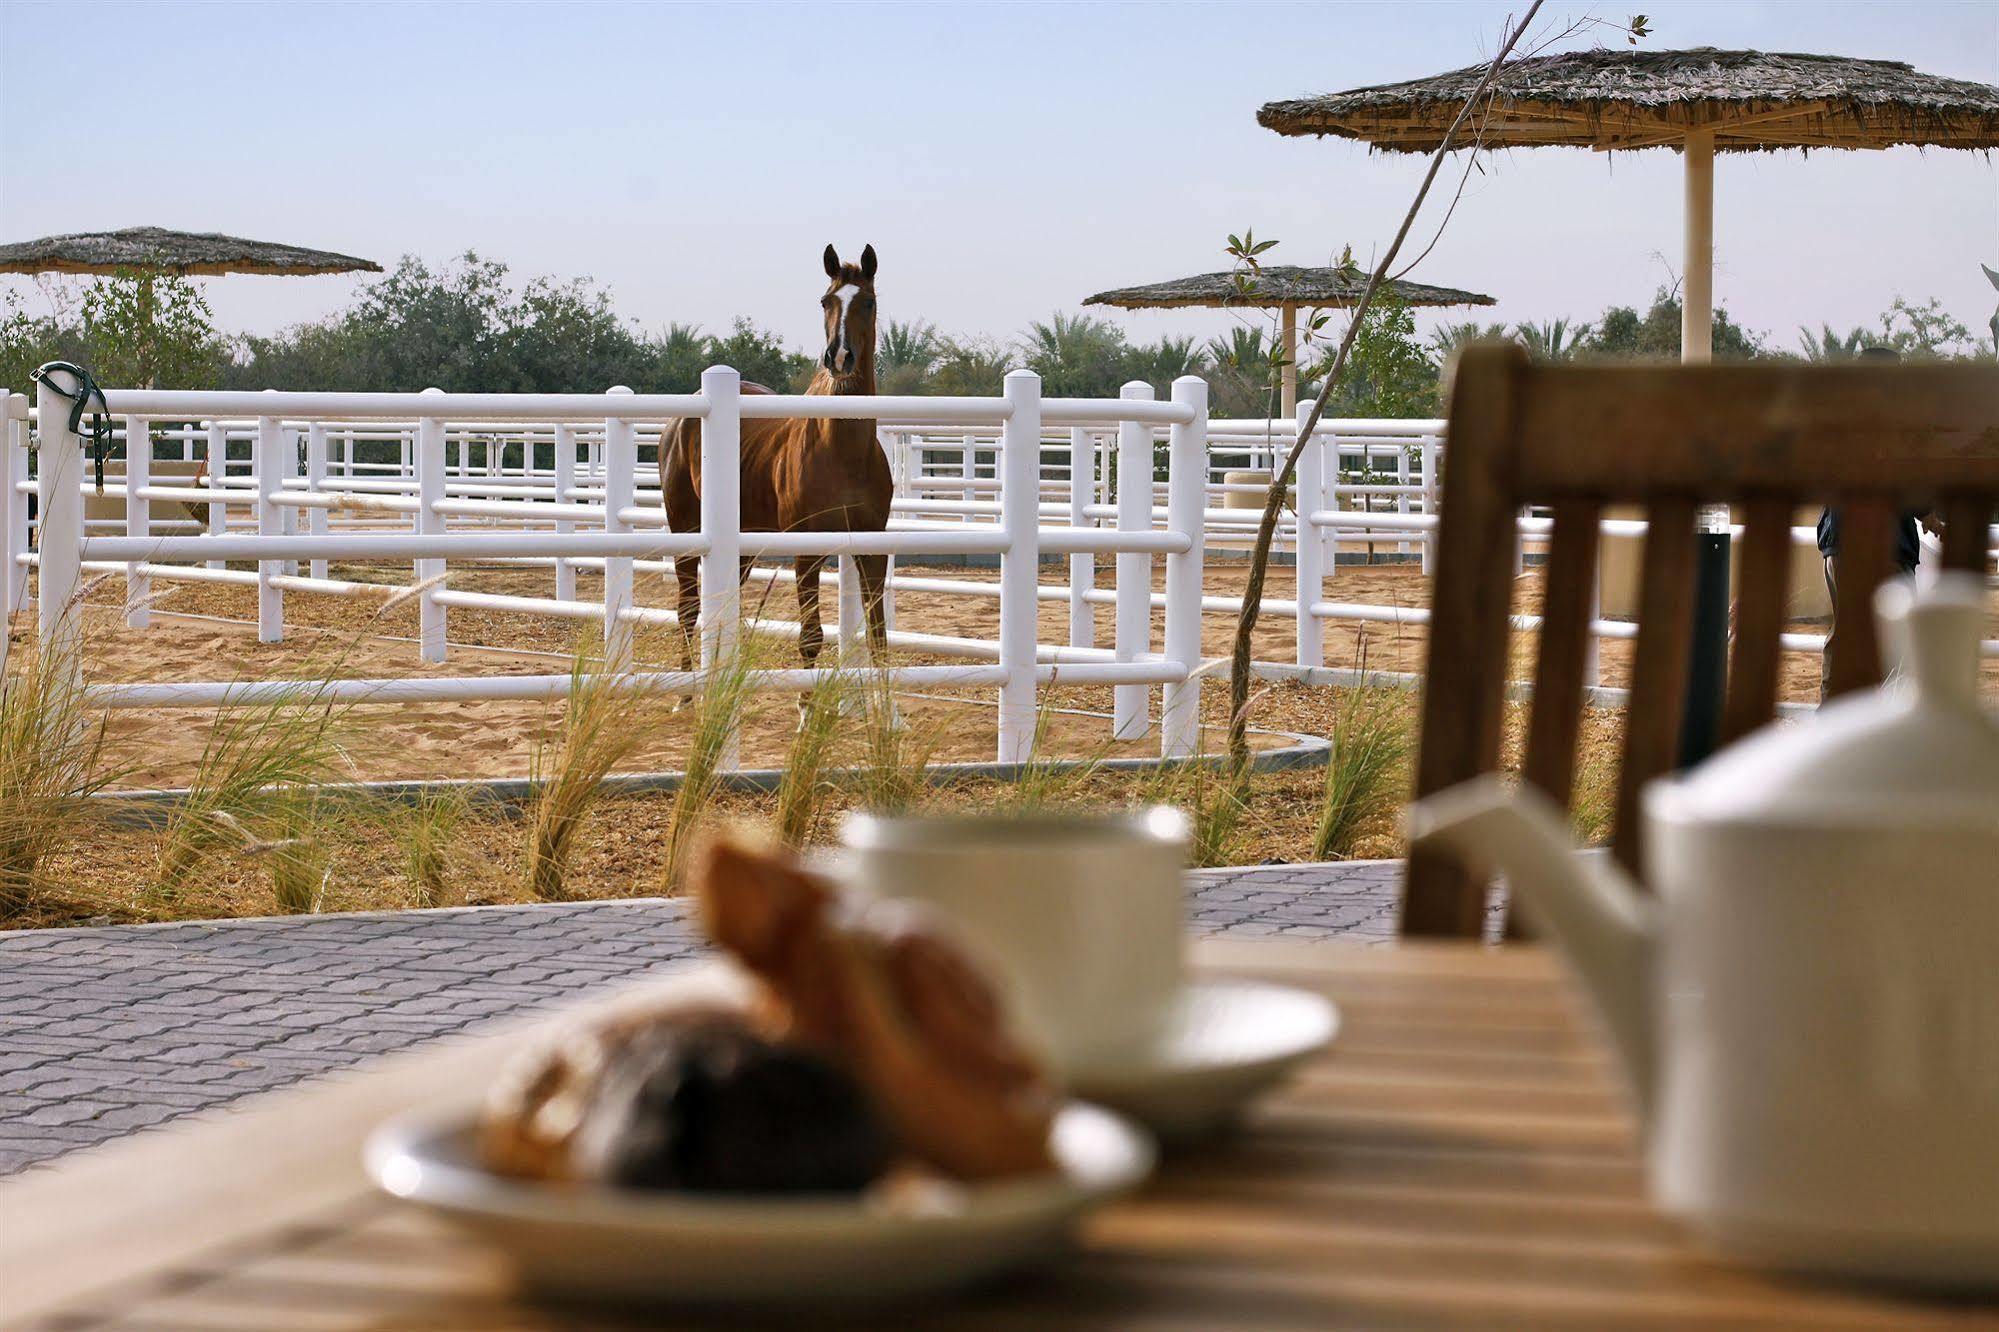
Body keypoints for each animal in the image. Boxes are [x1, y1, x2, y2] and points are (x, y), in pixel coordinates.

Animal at [663, 245, 891, 684]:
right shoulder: (806, 550)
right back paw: (685, 692)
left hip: (744, 543)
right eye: (826, 301)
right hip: (685, 529)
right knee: (687, 612)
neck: (845, 450)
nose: (839, 357)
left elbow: (879, 640)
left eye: (869, 302)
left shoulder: (871, 547)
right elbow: (811, 638)